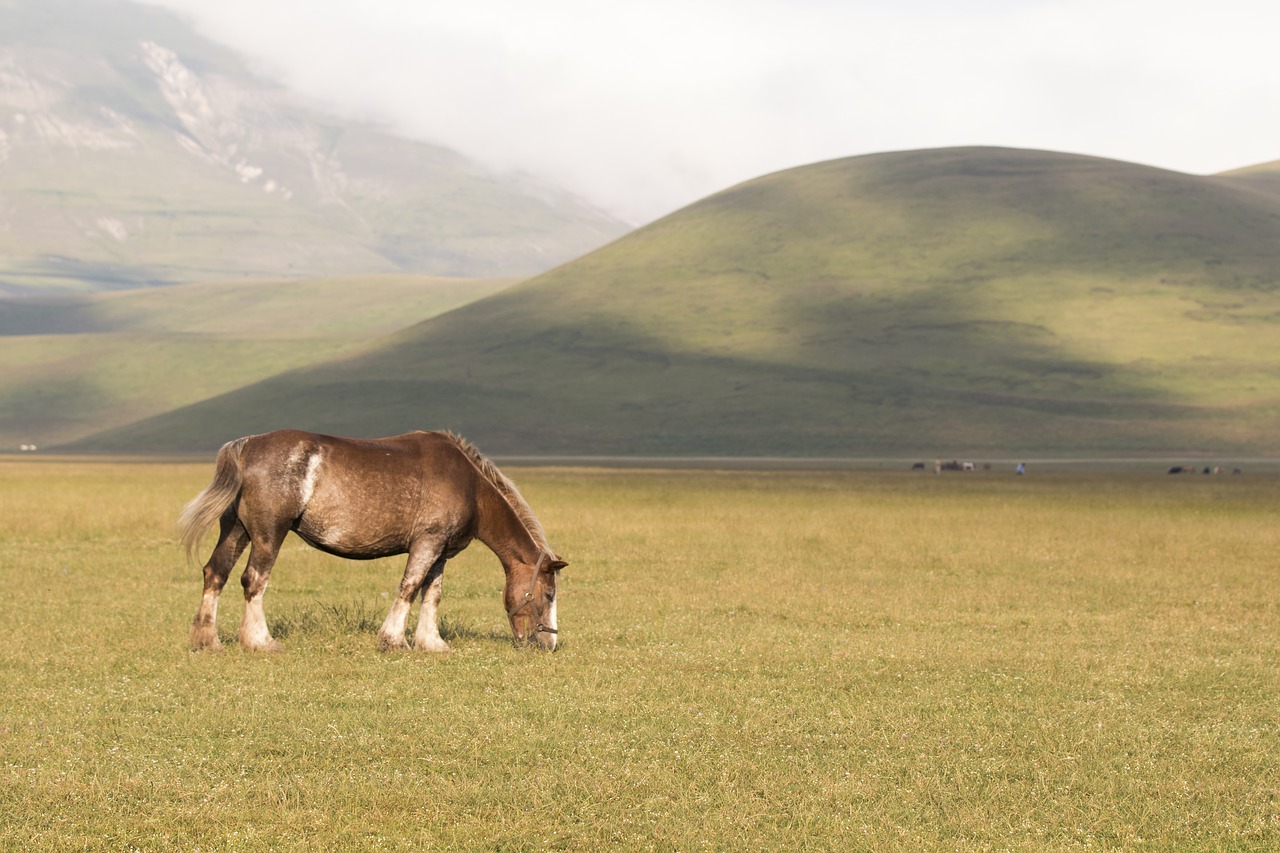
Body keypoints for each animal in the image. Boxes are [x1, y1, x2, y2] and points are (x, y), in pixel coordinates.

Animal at [177, 427, 568, 648]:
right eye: (548, 595)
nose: (548, 643)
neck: (470, 487)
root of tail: (245, 446)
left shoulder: (440, 551)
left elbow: (432, 595)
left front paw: (432, 643)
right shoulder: (426, 543)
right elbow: (409, 587)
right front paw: (393, 639)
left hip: (237, 529)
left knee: (216, 573)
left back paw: (208, 640)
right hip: (268, 533)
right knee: (253, 580)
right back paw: (260, 640)